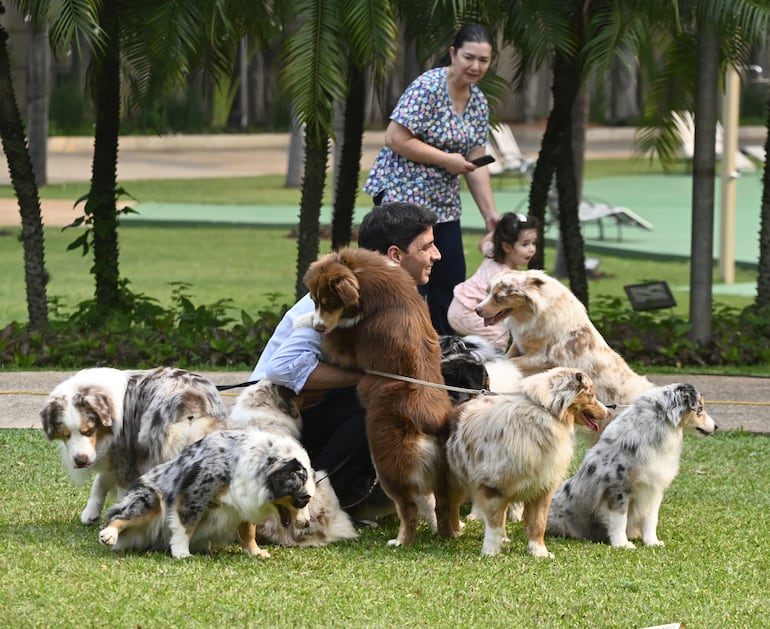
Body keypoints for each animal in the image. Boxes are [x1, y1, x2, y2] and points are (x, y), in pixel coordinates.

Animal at [300, 245, 456, 544]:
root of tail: (430, 422)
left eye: (330, 302)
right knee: (441, 504)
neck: (361, 274)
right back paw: (449, 531)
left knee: (409, 507)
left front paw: (301, 321)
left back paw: (401, 540)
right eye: (314, 300)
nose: (318, 328)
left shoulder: (346, 344)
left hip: (386, 462)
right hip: (443, 475)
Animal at [544, 380, 712, 548]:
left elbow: (651, 519)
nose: (716, 426)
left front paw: (652, 542)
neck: (658, 428)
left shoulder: (653, 489)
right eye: (700, 409)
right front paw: (622, 544)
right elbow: (620, 520)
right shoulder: (618, 488)